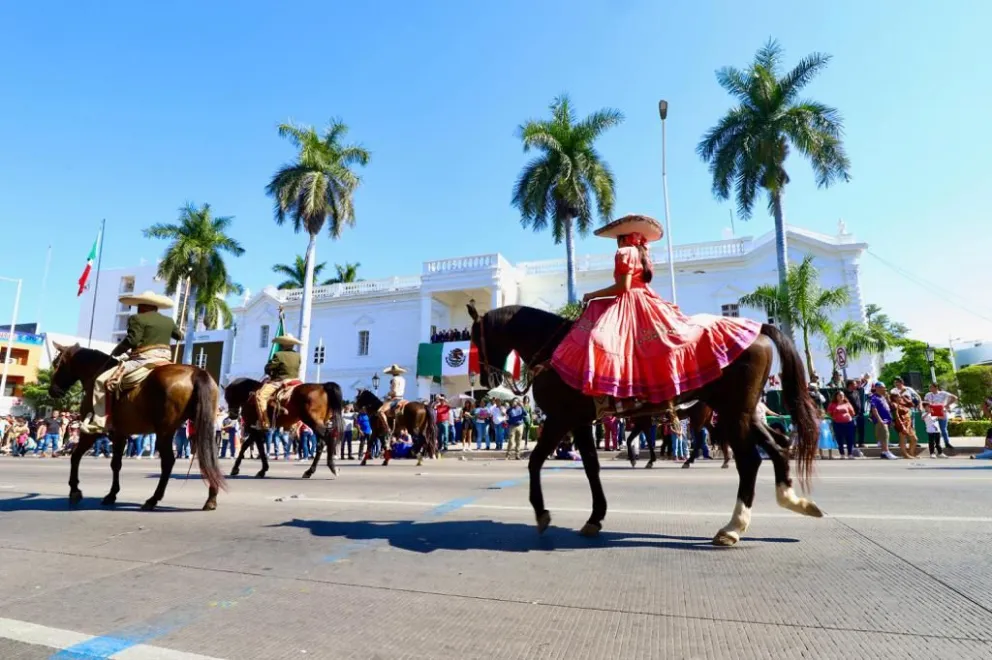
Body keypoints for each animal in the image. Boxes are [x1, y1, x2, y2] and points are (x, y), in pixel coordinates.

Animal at [49, 342, 227, 512]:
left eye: (56, 363)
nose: (52, 391)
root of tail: (196, 372)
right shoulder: (120, 434)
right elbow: (116, 464)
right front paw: (112, 494)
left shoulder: (92, 432)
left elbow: (76, 456)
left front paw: (75, 490)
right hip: (201, 426)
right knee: (208, 457)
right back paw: (211, 499)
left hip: (164, 432)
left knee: (168, 461)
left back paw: (153, 499)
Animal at [468, 304, 824, 548]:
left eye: (472, 337)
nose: (485, 381)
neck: (554, 349)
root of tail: (758, 328)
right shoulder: (581, 421)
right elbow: (592, 467)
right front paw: (595, 517)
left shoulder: (561, 418)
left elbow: (536, 461)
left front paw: (542, 514)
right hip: (744, 412)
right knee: (778, 447)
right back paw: (793, 500)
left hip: (732, 413)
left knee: (749, 461)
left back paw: (733, 527)